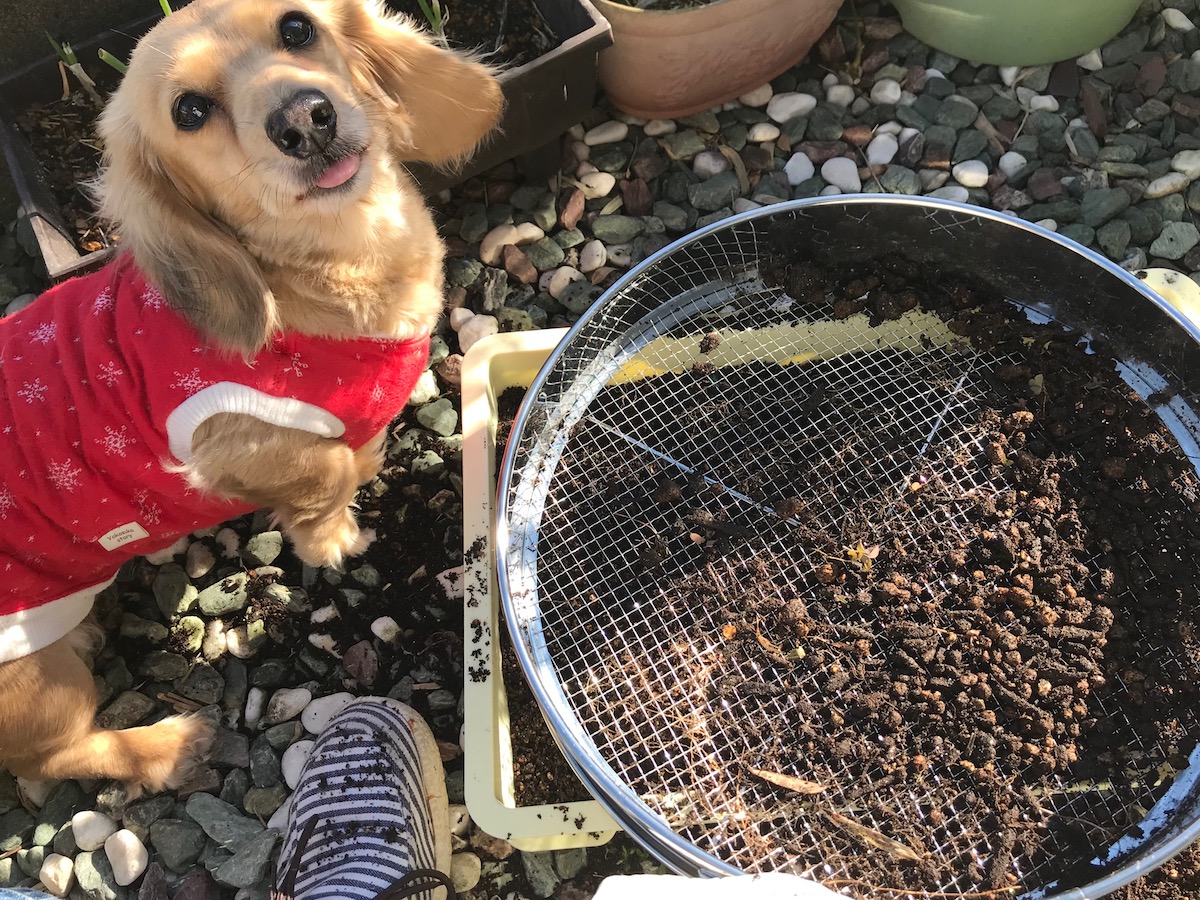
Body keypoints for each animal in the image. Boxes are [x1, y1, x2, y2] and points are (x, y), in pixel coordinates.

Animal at [0, 0, 502, 795]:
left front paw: (366, 462)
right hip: (36, 680)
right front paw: (333, 537)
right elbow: (324, 475)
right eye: (189, 110)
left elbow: (356, 450)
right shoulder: (236, 443)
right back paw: (166, 746)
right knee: (53, 757)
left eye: (296, 28)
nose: (305, 119)